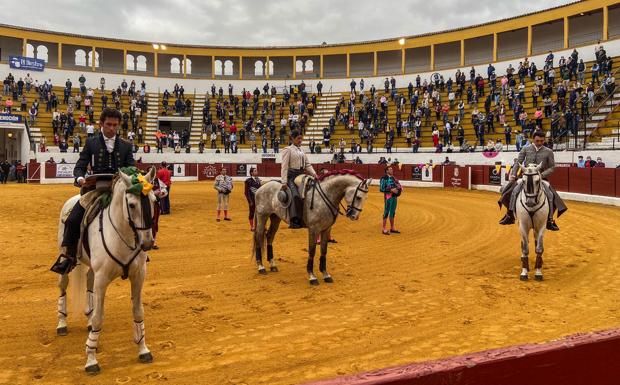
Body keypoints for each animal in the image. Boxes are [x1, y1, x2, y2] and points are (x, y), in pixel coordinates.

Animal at [56, 167, 157, 372]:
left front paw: (143, 349)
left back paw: (86, 320)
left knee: (88, 279)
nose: (147, 243)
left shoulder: (138, 276)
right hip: (65, 256)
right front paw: (91, 359)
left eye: (153, 200)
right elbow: (98, 318)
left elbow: (138, 311)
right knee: (63, 283)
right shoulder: (102, 279)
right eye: (132, 205)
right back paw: (62, 324)